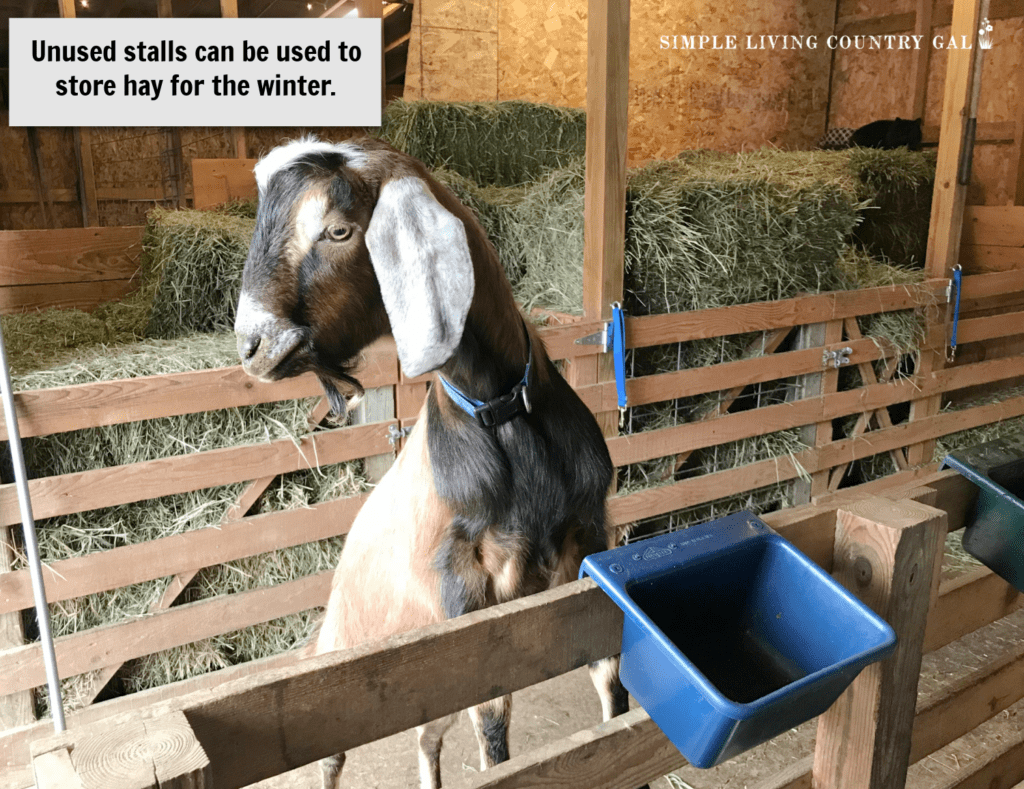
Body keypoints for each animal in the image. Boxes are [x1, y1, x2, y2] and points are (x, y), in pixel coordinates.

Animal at [235, 139, 643, 789]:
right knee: (331, 755)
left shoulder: (588, 537)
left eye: (338, 229)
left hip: (425, 674)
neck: (501, 408)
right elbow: (493, 718)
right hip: (336, 664)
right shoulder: (463, 582)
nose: (251, 345)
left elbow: (608, 673)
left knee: (427, 737)